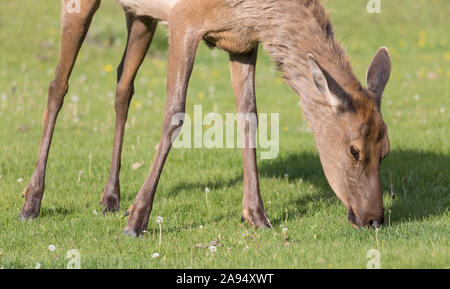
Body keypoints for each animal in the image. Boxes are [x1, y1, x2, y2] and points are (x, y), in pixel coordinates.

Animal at [19, 0, 388, 235]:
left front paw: (257, 216)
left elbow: (250, 116)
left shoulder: (242, 42)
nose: (374, 219)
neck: (254, 11)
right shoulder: (183, 18)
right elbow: (174, 113)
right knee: (58, 84)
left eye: (385, 150)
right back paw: (31, 202)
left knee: (123, 85)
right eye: (354, 150)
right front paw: (136, 221)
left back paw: (111, 197)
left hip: (140, 14)